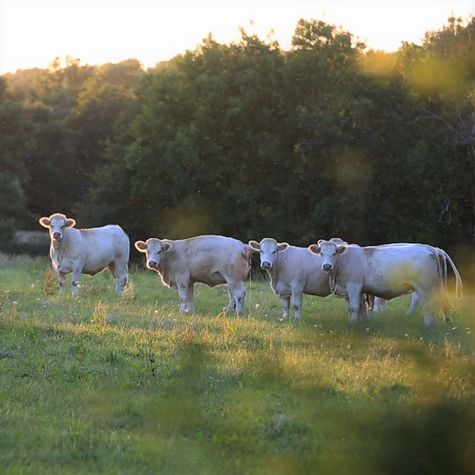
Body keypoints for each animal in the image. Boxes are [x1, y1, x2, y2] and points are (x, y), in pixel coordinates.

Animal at [308, 240, 462, 326]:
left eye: (334, 253)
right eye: (321, 253)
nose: (326, 266)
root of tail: (431, 248)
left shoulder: (353, 286)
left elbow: (354, 307)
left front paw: (352, 324)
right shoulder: (352, 289)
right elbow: (359, 307)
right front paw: (361, 323)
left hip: (425, 287)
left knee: (429, 305)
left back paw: (427, 325)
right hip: (436, 285)